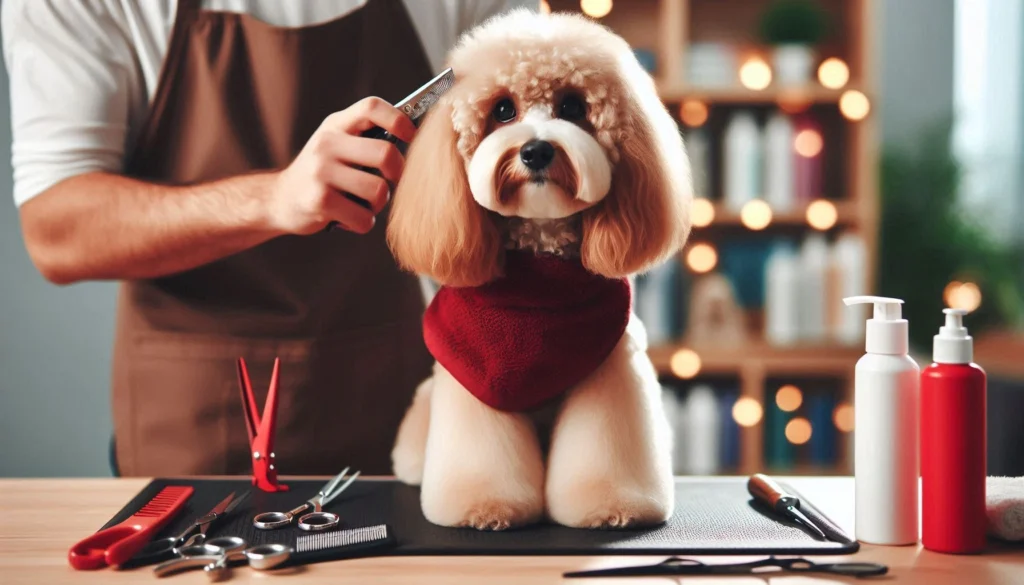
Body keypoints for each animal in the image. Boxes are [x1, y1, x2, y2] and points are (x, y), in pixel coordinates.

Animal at [385, 8, 696, 532]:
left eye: (572, 107)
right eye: (502, 111)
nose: (535, 151)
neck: (541, 272)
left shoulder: (611, 371)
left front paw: (614, 504)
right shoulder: (475, 383)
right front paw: (484, 506)